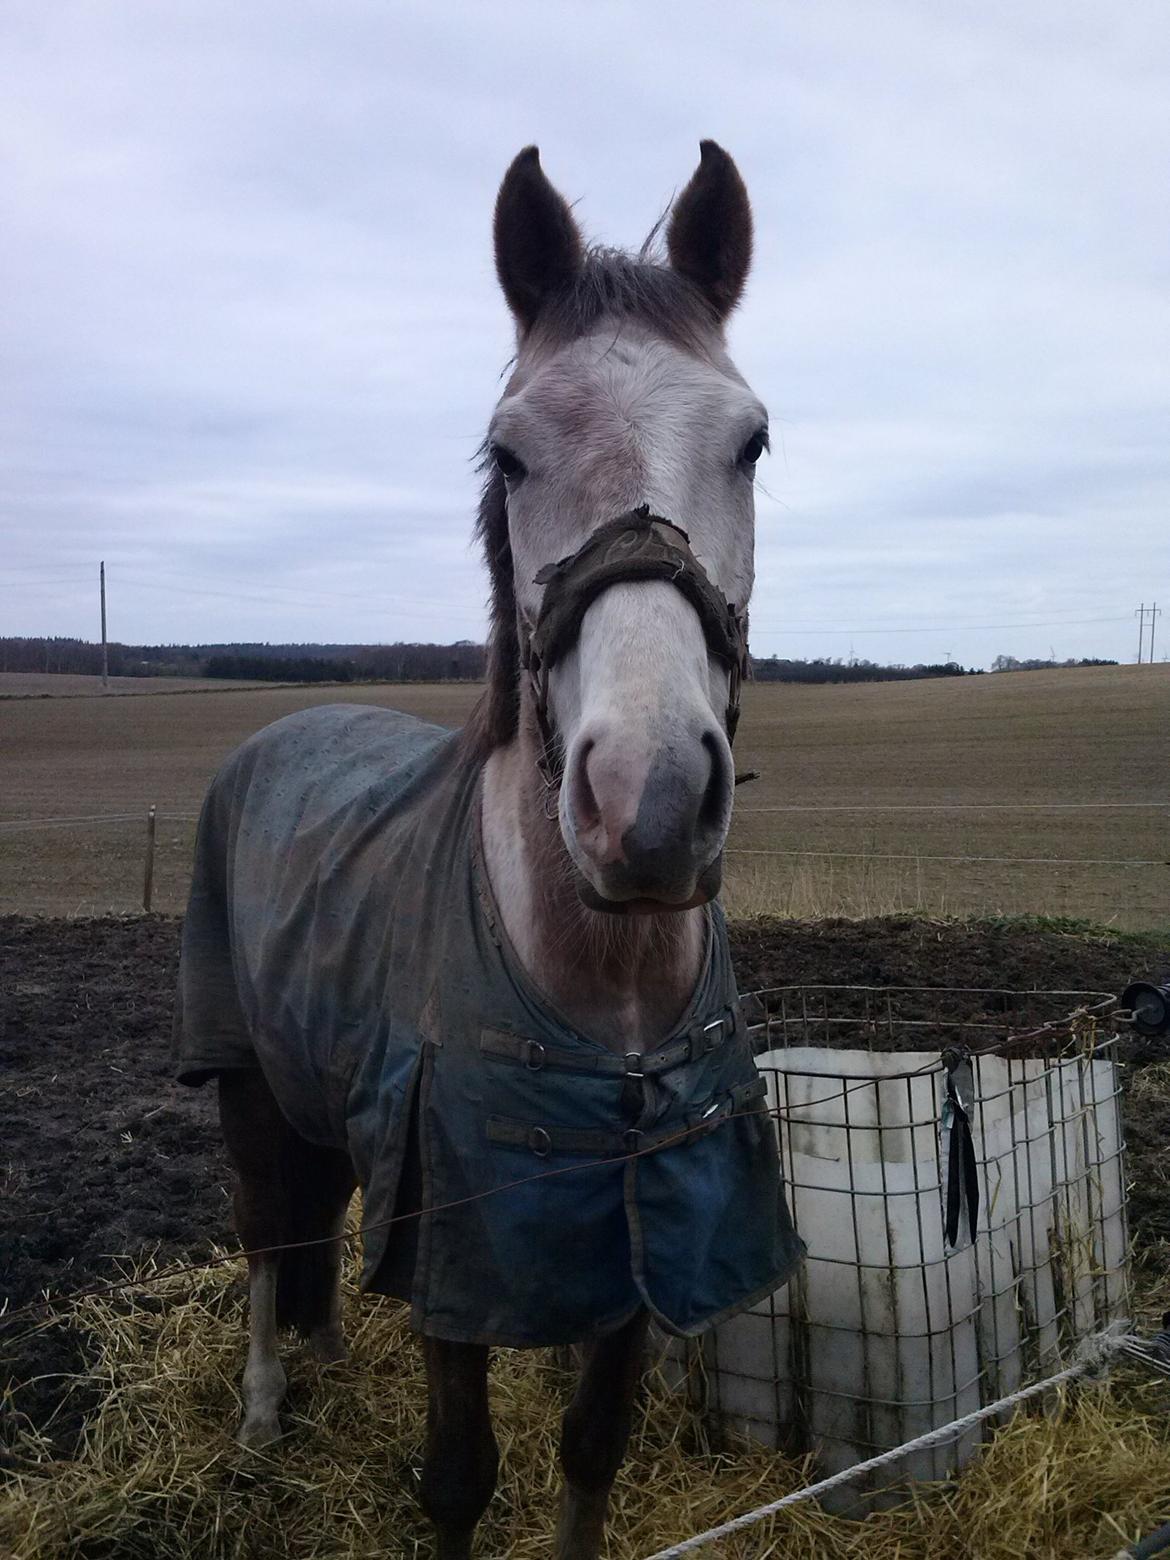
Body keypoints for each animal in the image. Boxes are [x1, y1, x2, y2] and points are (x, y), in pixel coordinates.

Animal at [173, 143, 804, 1560]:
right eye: (509, 454)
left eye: (751, 441)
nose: (648, 802)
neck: (600, 980)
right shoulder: (458, 1246)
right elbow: (459, 1475)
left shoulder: (634, 1238)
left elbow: (591, 1452)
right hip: (243, 1078)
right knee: (263, 1235)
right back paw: (261, 1408)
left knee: (321, 1214)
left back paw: (330, 1352)